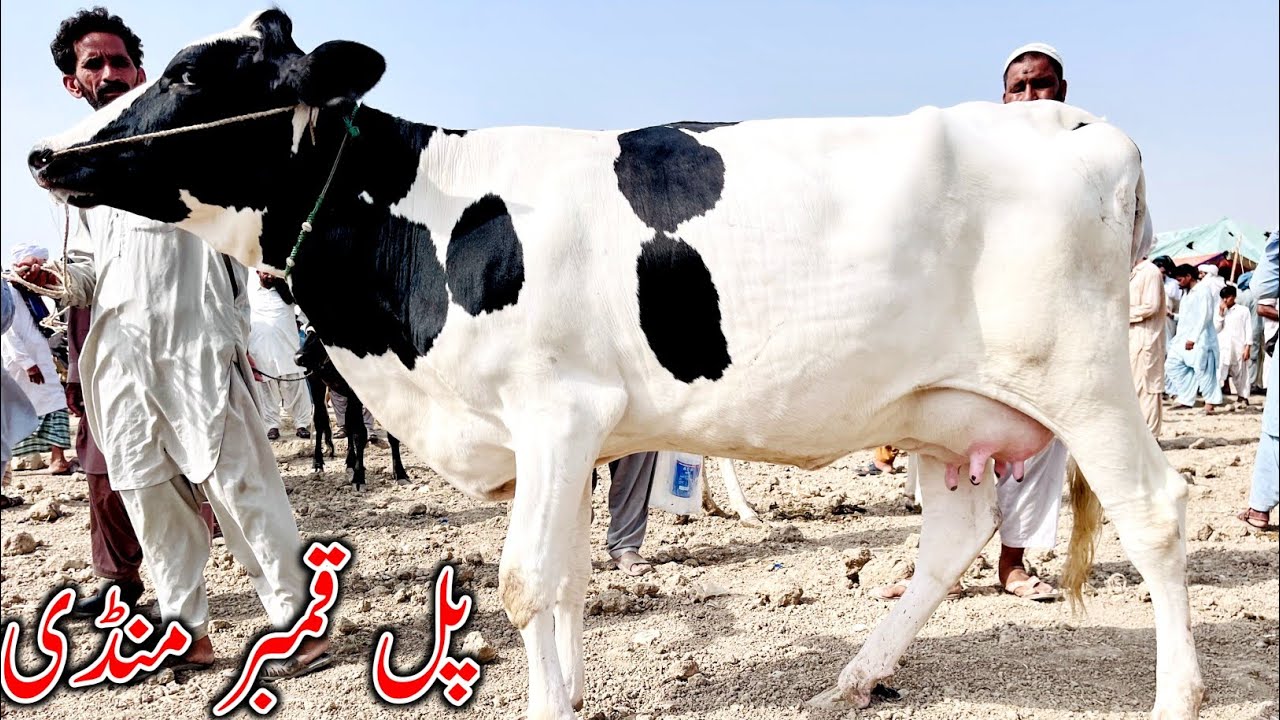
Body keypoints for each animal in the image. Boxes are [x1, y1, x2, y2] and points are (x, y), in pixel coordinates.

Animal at [27, 10, 1203, 719]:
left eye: (191, 73)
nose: (46, 153)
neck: (423, 221)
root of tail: (1080, 125)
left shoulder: (557, 410)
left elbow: (524, 582)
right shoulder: (555, 433)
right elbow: (563, 583)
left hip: (1083, 377)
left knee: (1152, 511)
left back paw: (1176, 694)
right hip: (934, 407)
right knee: (954, 532)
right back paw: (858, 674)